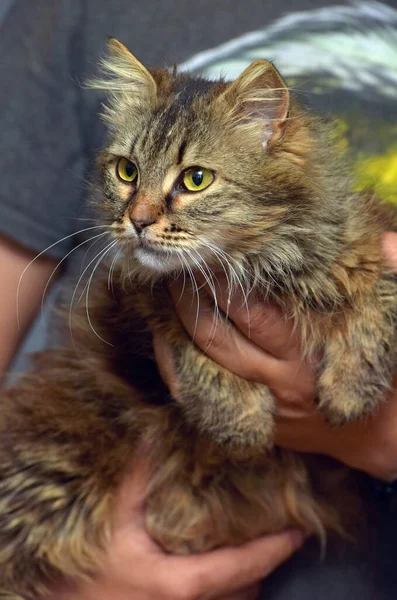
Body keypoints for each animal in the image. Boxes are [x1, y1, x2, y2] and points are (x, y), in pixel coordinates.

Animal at [0, 39, 396, 596]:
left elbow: (374, 308)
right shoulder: (141, 303)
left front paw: (351, 393)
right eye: (127, 171)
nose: (138, 221)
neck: (258, 267)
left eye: (196, 180)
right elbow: (190, 354)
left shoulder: (365, 241)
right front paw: (241, 422)